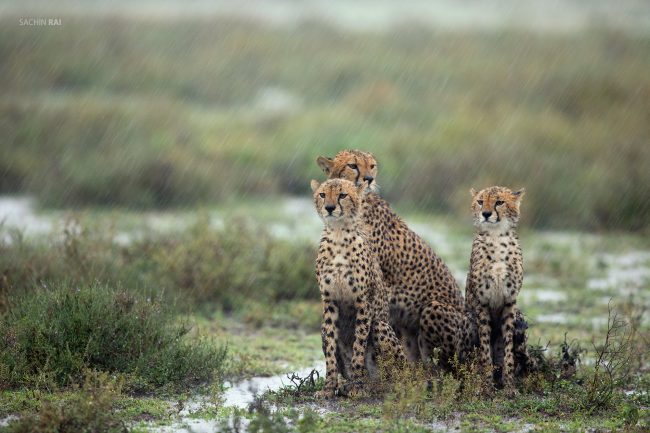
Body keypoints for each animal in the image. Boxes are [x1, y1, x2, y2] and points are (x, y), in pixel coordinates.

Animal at [312, 178, 406, 398]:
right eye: (322, 194)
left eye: (342, 195)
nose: (330, 208)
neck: (338, 234)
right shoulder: (329, 302)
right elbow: (331, 350)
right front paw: (328, 388)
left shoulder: (364, 302)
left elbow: (359, 345)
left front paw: (356, 385)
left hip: (381, 327)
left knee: (397, 376)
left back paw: (376, 385)